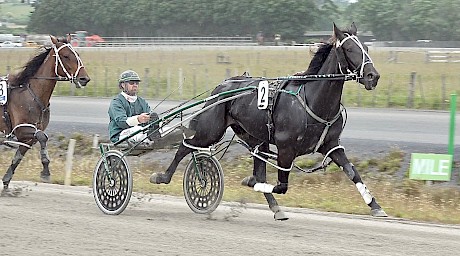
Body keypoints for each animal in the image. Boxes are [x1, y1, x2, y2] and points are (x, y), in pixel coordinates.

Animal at [0, 35, 90, 193]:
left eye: (77, 54)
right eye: (66, 56)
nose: (84, 78)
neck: (33, 94)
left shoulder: (27, 138)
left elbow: (17, 158)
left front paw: (6, 183)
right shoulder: (22, 129)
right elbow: (43, 137)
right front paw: (46, 171)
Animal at [152, 23, 388, 220]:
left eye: (366, 47)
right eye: (349, 49)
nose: (372, 76)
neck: (313, 101)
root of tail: (222, 85)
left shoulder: (331, 145)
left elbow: (353, 172)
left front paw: (376, 206)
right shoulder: (285, 149)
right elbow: (281, 185)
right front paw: (249, 182)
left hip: (256, 138)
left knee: (256, 165)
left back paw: (276, 209)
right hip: (211, 129)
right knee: (186, 146)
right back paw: (162, 176)